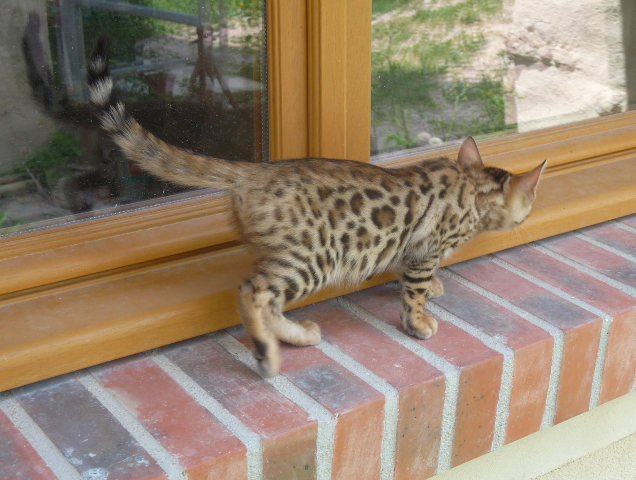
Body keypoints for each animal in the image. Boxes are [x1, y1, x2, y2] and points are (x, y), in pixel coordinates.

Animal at [86, 35, 546, 377]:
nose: (530, 212)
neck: (472, 187)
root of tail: (255, 171)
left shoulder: (411, 249)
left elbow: (410, 274)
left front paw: (432, 288)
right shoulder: (426, 248)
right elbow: (414, 289)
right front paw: (420, 319)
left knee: (268, 299)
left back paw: (296, 336)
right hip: (315, 256)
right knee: (253, 293)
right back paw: (267, 357)